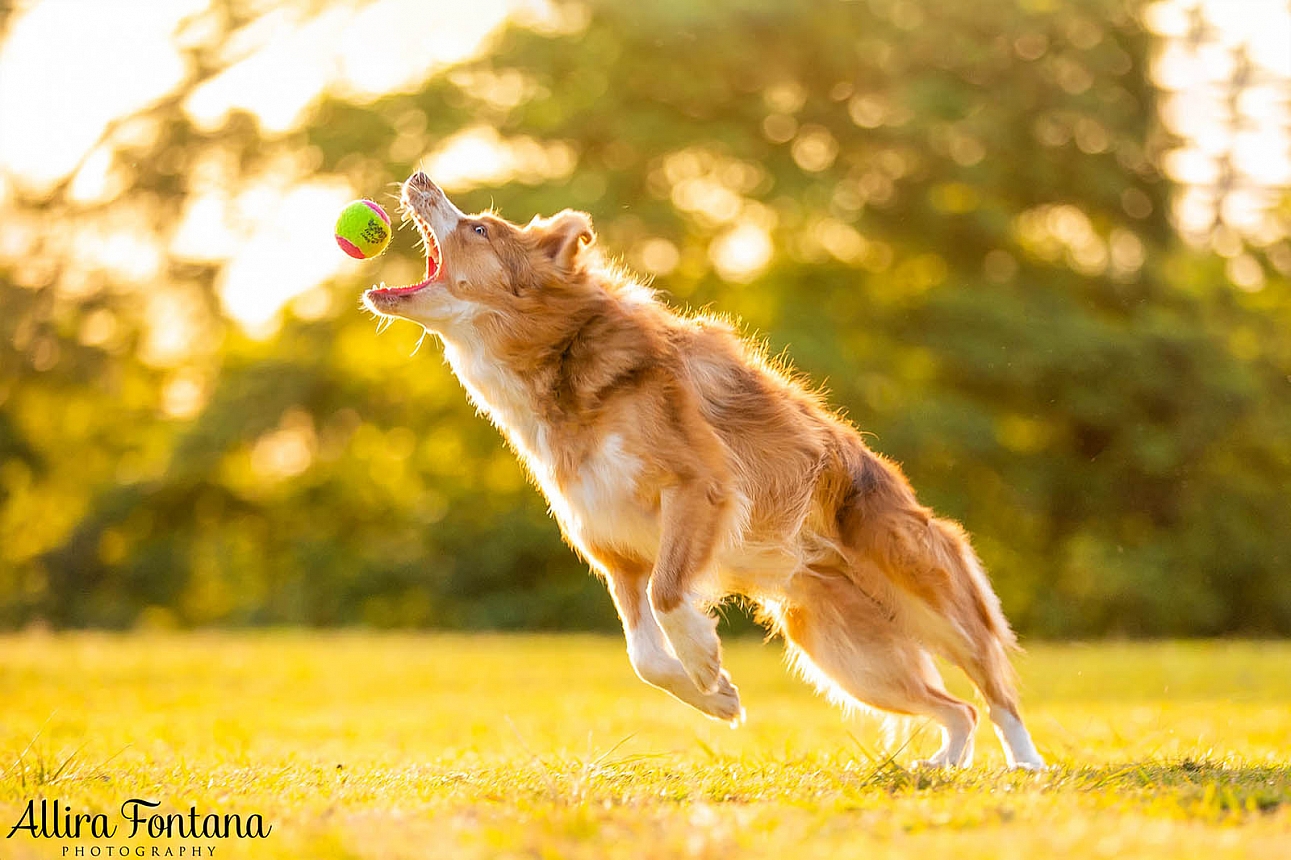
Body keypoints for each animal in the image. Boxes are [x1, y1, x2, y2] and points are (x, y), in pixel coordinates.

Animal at [358, 170, 1043, 764]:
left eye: (479, 228)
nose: (419, 176)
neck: (561, 358)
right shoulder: (614, 548)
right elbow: (643, 654)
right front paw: (714, 696)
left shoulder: (699, 490)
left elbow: (668, 596)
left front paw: (706, 660)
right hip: (849, 654)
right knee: (956, 709)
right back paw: (945, 764)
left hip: (929, 598)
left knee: (994, 690)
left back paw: (1026, 766)